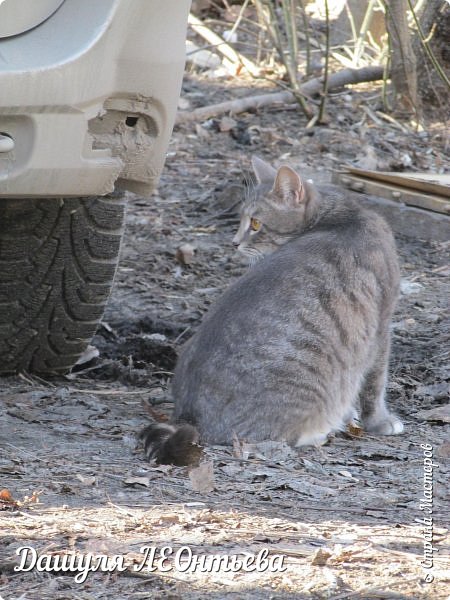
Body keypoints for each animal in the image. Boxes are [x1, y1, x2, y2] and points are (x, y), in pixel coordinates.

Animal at [142, 157, 404, 466]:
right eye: (243, 220)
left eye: (255, 223)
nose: (234, 242)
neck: (340, 216)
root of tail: (187, 416)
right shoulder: (380, 325)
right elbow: (375, 383)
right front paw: (379, 421)